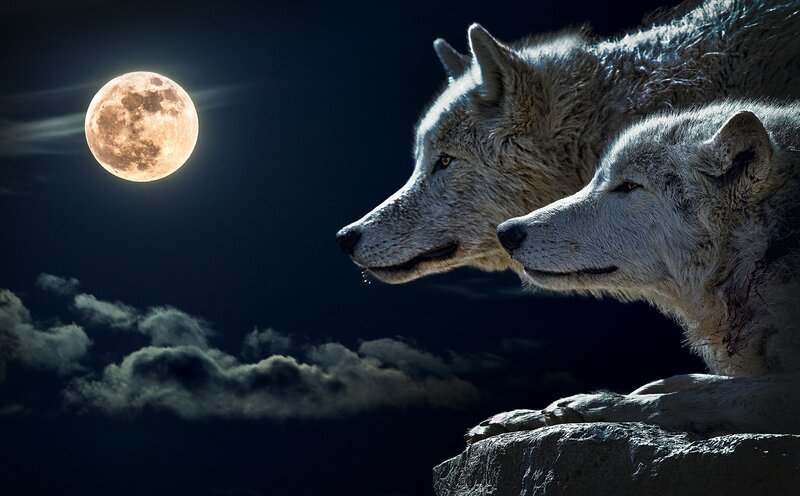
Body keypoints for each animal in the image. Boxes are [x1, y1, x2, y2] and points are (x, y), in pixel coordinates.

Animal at [467, 101, 800, 441]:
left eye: (629, 185)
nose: (506, 232)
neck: (765, 251)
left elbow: (682, 399)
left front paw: (582, 406)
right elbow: (687, 382)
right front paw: (525, 415)